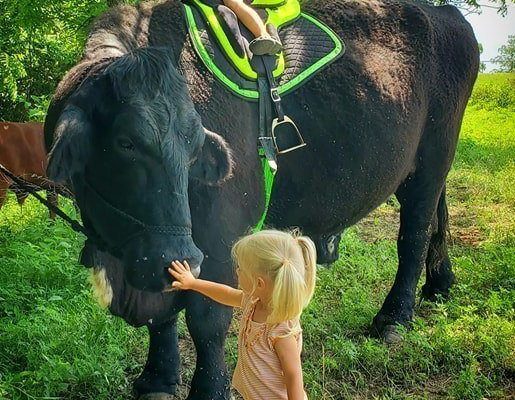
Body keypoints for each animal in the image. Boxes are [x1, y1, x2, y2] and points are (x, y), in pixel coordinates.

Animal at [43, 1, 480, 398]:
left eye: (194, 144)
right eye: (125, 143)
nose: (175, 253)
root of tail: (445, 14)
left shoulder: (216, 238)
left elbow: (208, 319)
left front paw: (210, 389)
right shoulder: (157, 250)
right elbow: (162, 313)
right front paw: (157, 379)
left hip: (432, 160)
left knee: (413, 235)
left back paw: (394, 318)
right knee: (438, 219)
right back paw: (440, 283)